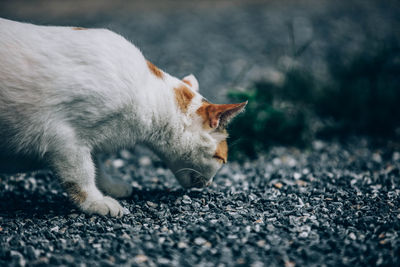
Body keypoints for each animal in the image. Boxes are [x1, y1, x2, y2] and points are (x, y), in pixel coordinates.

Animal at [0, 17, 247, 218]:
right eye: (221, 159)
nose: (210, 184)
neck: (148, 94)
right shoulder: (64, 138)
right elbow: (82, 173)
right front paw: (95, 202)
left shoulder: (88, 141)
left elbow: (96, 164)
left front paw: (109, 187)